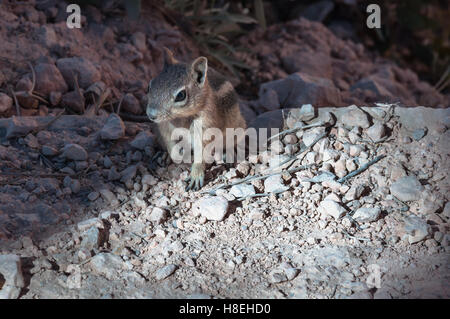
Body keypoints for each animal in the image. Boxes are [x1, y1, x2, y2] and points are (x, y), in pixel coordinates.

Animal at [147, 48, 246, 191]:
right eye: (150, 86)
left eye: (181, 95)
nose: (151, 115)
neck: (180, 118)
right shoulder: (164, 127)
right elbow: (170, 144)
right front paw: (177, 155)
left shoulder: (205, 129)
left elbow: (201, 153)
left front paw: (196, 175)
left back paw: (228, 154)